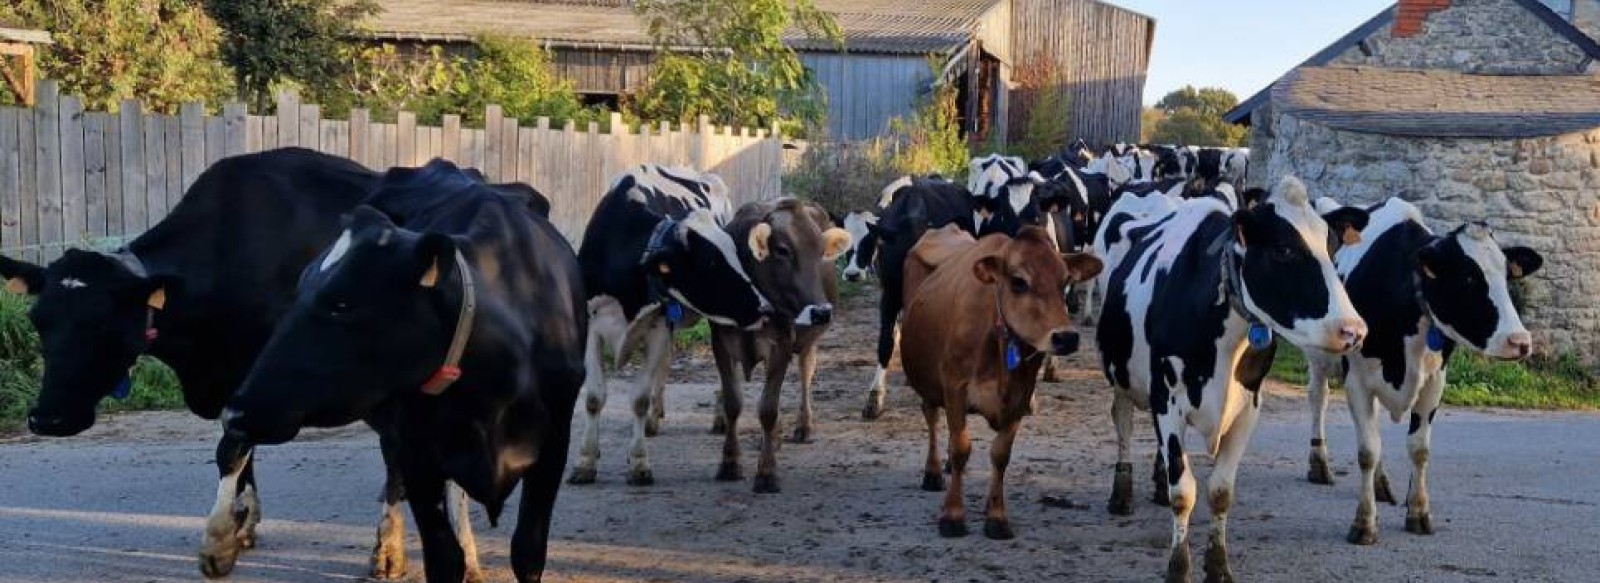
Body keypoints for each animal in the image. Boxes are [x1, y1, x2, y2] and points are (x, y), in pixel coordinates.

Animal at [216, 159, 585, 583]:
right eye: (300, 288)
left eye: (342, 304)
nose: (234, 413)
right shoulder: (417, 450)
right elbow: (443, 558)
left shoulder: (554, 443)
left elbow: (528, 551)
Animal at [572, 164, 771, 486]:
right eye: (710, 263)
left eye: (736, 255)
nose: (764, 308)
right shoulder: (591, 326)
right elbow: (593, 398)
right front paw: (586, 461)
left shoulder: (659, 326)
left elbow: (639, 398)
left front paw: (639, 463)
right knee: (665, 366)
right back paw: (655, 418)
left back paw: (718, 417)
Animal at [902, 222, 1100, 538]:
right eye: (1018, 281)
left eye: (1065, 280)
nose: (1066, 337)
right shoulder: (955, 387)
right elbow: (961, 449)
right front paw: (953, 515)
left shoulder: (1020, 397)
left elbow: (1000, 455)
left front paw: (996, 515)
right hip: (928, 382)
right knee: (931, 416)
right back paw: (932, 472)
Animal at [1100, 177, 1376, 583]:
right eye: (1283, 250)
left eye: (1332, 247)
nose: (1353, 330)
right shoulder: (1167, 398)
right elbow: (1184, 492)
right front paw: (1178, 568)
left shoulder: (1249, 405)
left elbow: (1219, 491)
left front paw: (1218, 566)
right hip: (1121, 375)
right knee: (1122, 425)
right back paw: (1122, 493)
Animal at [1299, 197, 1536, 547]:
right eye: (1468, 278)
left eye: (1507, 277)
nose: (1519, 342)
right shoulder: (1357, 380)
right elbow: (1367, 451)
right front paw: (1364, 523)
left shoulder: (1434, 381)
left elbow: (1419, 449)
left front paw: (1419, 513)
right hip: (1318, 356)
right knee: (1319, 398)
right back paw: (1319, 465)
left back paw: (1381, 485)